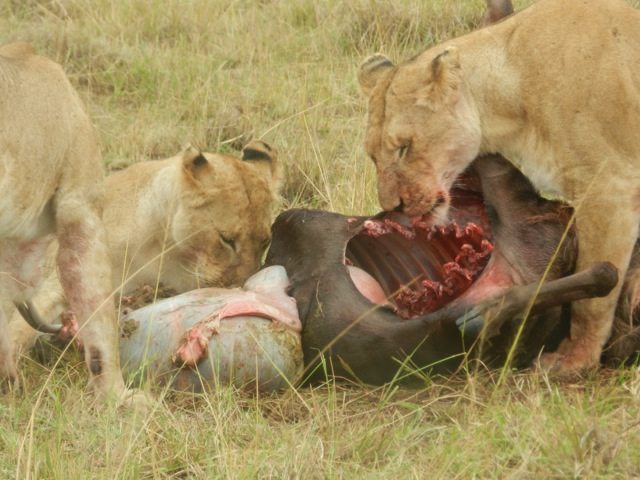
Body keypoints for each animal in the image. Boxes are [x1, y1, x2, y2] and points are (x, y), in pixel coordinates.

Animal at [357, 0, 640, 375]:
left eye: (404, 147)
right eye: (372, 155)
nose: (393, 207)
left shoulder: (608, 188)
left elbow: (594, 298)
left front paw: (575, 360)